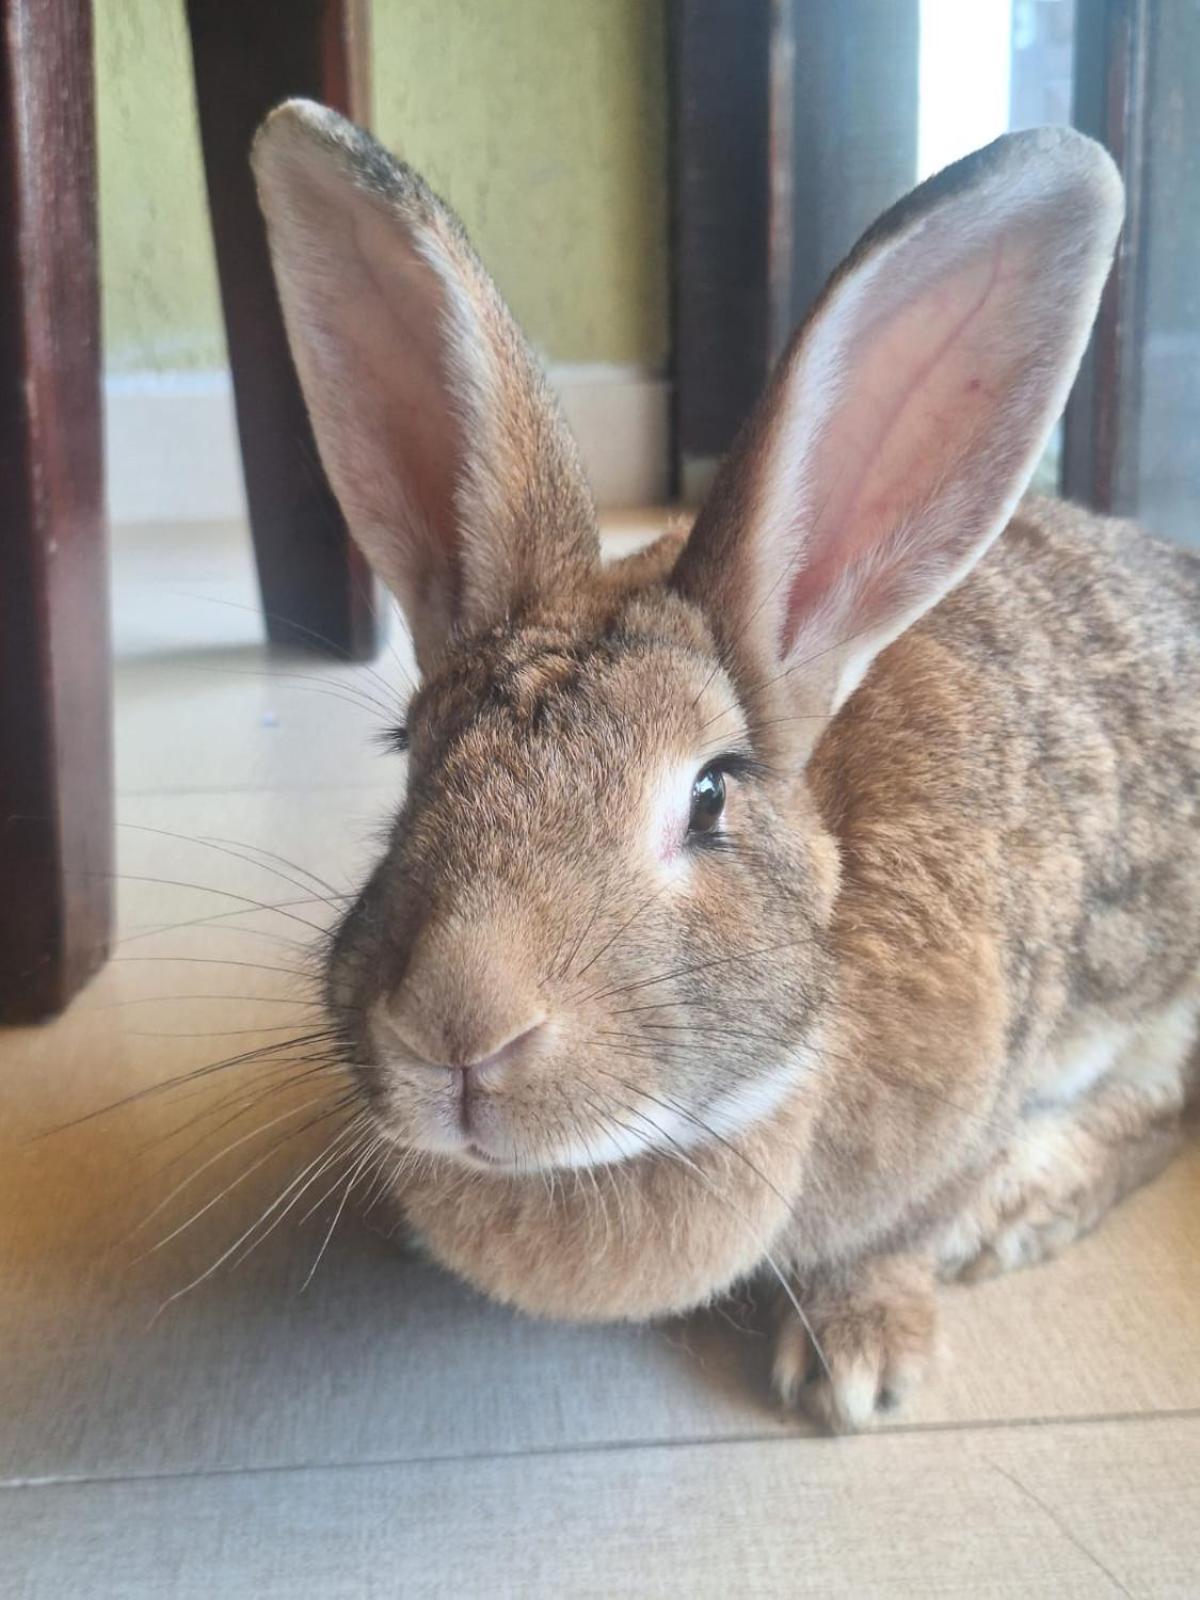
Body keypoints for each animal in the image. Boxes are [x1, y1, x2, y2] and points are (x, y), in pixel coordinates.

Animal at [254, 106, 1200, 1433]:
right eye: (413, 758)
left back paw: (1015, 1208)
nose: (457, 1028)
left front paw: (861, 1362)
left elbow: (897, 1234)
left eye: (709, 795)